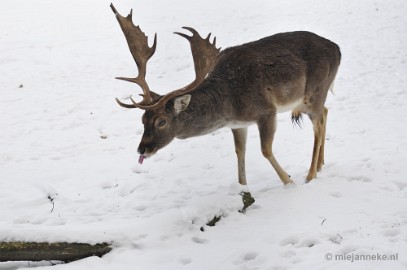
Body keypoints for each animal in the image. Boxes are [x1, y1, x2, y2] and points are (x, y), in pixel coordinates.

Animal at [111, 4, 342, 187]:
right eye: (143, 119)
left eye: (161, 121)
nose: (142, 149)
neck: (230, 103)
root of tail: (338, 49)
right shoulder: (238, 124)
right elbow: (240, 153)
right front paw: (243, 188)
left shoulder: (267, 111)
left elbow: (265, 150)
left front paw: (289, 181)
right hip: (311, 97)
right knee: (325, 112)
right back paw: (320, 165)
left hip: (315, 90)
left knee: (318, 124)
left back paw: (310, 175)